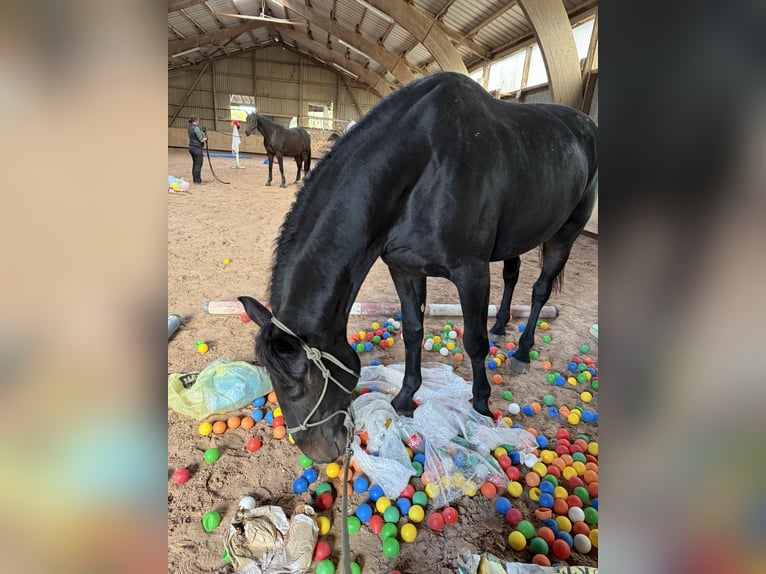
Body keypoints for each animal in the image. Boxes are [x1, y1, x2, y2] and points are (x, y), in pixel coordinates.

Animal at [240, 74, 600, 466]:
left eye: (300, 382)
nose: (321, 452)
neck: (425, 165)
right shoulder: (404, 268)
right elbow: (413, 332)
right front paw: (403, 398)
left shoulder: (471, 273)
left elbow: (474, 343)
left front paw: (481, 406)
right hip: (516, 237)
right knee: (512, 275)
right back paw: (501, 324)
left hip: (564, 234)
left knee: (539, 291)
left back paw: (521, 352)